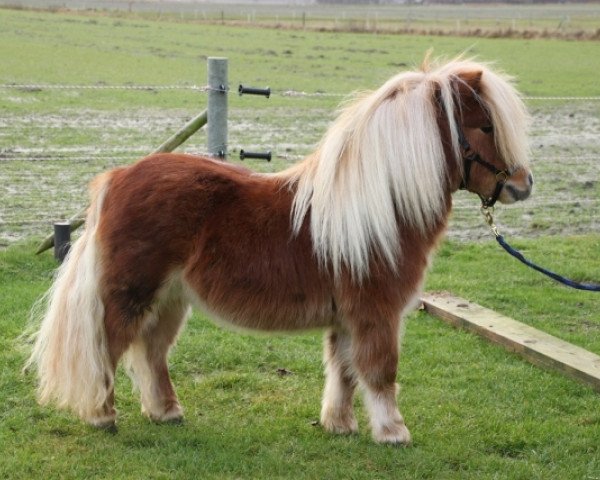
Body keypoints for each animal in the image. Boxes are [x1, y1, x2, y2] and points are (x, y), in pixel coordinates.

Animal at [28, 58, 536, 444]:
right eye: (485, 126)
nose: (523, 184)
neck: (382, 205)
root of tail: (116, 179)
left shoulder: (347, 316)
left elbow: (343, 369)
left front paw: (340, 425)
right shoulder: (377, 312)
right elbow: (379, 370)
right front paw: (393, 432)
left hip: (170, 299)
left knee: (151, 351)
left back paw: (166, 411)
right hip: (131, 293)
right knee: (107, 346)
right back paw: (102, 415)